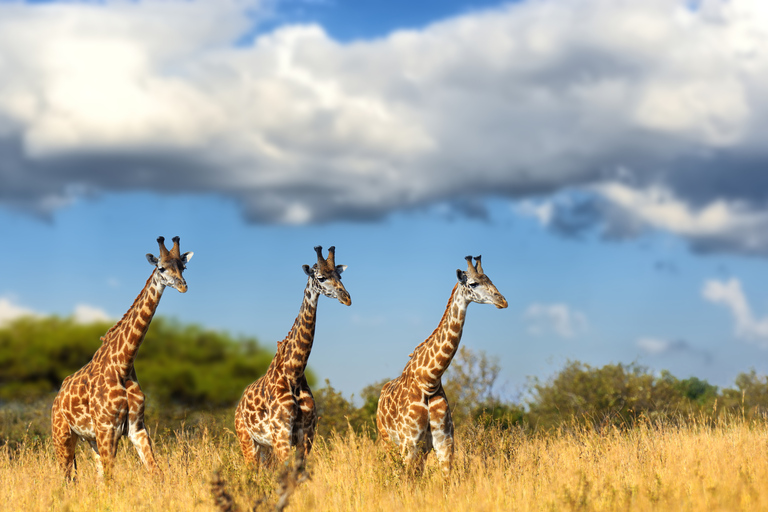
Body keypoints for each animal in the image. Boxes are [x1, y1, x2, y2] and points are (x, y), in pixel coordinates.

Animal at [51, 236, 194, 480]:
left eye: (182, 267)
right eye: (161, 267)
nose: (183, 285)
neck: (123, 365)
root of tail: (56, 398)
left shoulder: (137, 427)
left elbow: (156, 473)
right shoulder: (107, 428)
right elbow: (111, 479)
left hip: (90, 439)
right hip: (62, 435)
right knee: (66, 477)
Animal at [236, 246, 352, 466]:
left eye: (339, 275)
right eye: (321, 277)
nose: (347, 298)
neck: (294, 373)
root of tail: (238, 404)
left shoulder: (307, 434)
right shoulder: (281, 434)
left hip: (266, 447)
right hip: (247, 440)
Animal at [376, 255, 508, 476]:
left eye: (490, 279)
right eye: (474, 283)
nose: (502, 301)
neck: (430, 379)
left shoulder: (443, 441)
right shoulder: (409, 442)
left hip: (420, 448)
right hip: (389, 442)